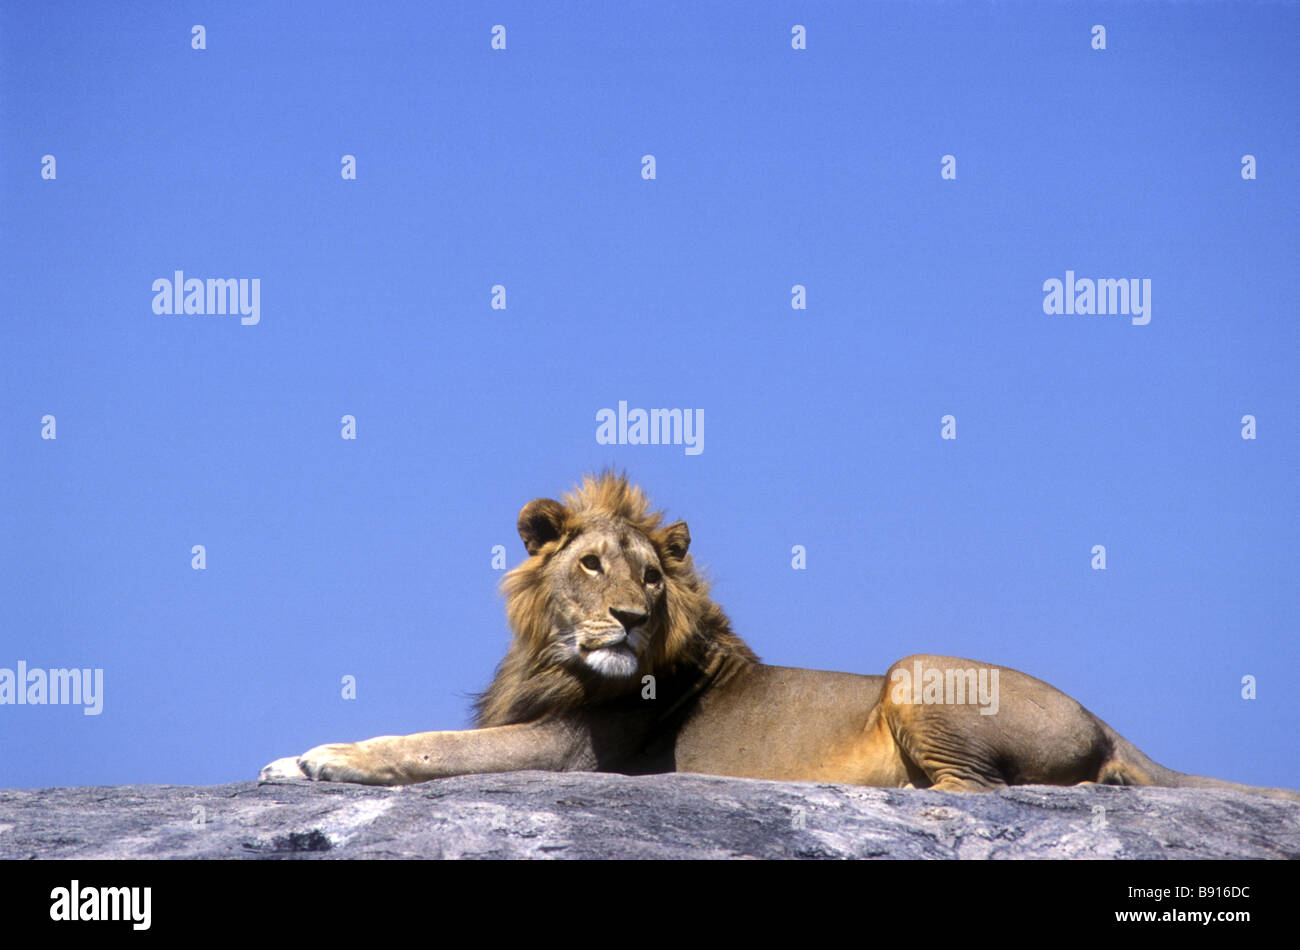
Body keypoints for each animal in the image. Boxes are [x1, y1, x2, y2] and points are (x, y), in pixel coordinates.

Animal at [258, 470, 1300, 800]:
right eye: (591, 565)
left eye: (652, 577)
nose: (631, 620)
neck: (551, 657)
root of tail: (1114, 723)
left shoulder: (573, 751)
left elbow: (430, 745)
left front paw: (320, 759)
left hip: (915, 670)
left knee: (979, 792)